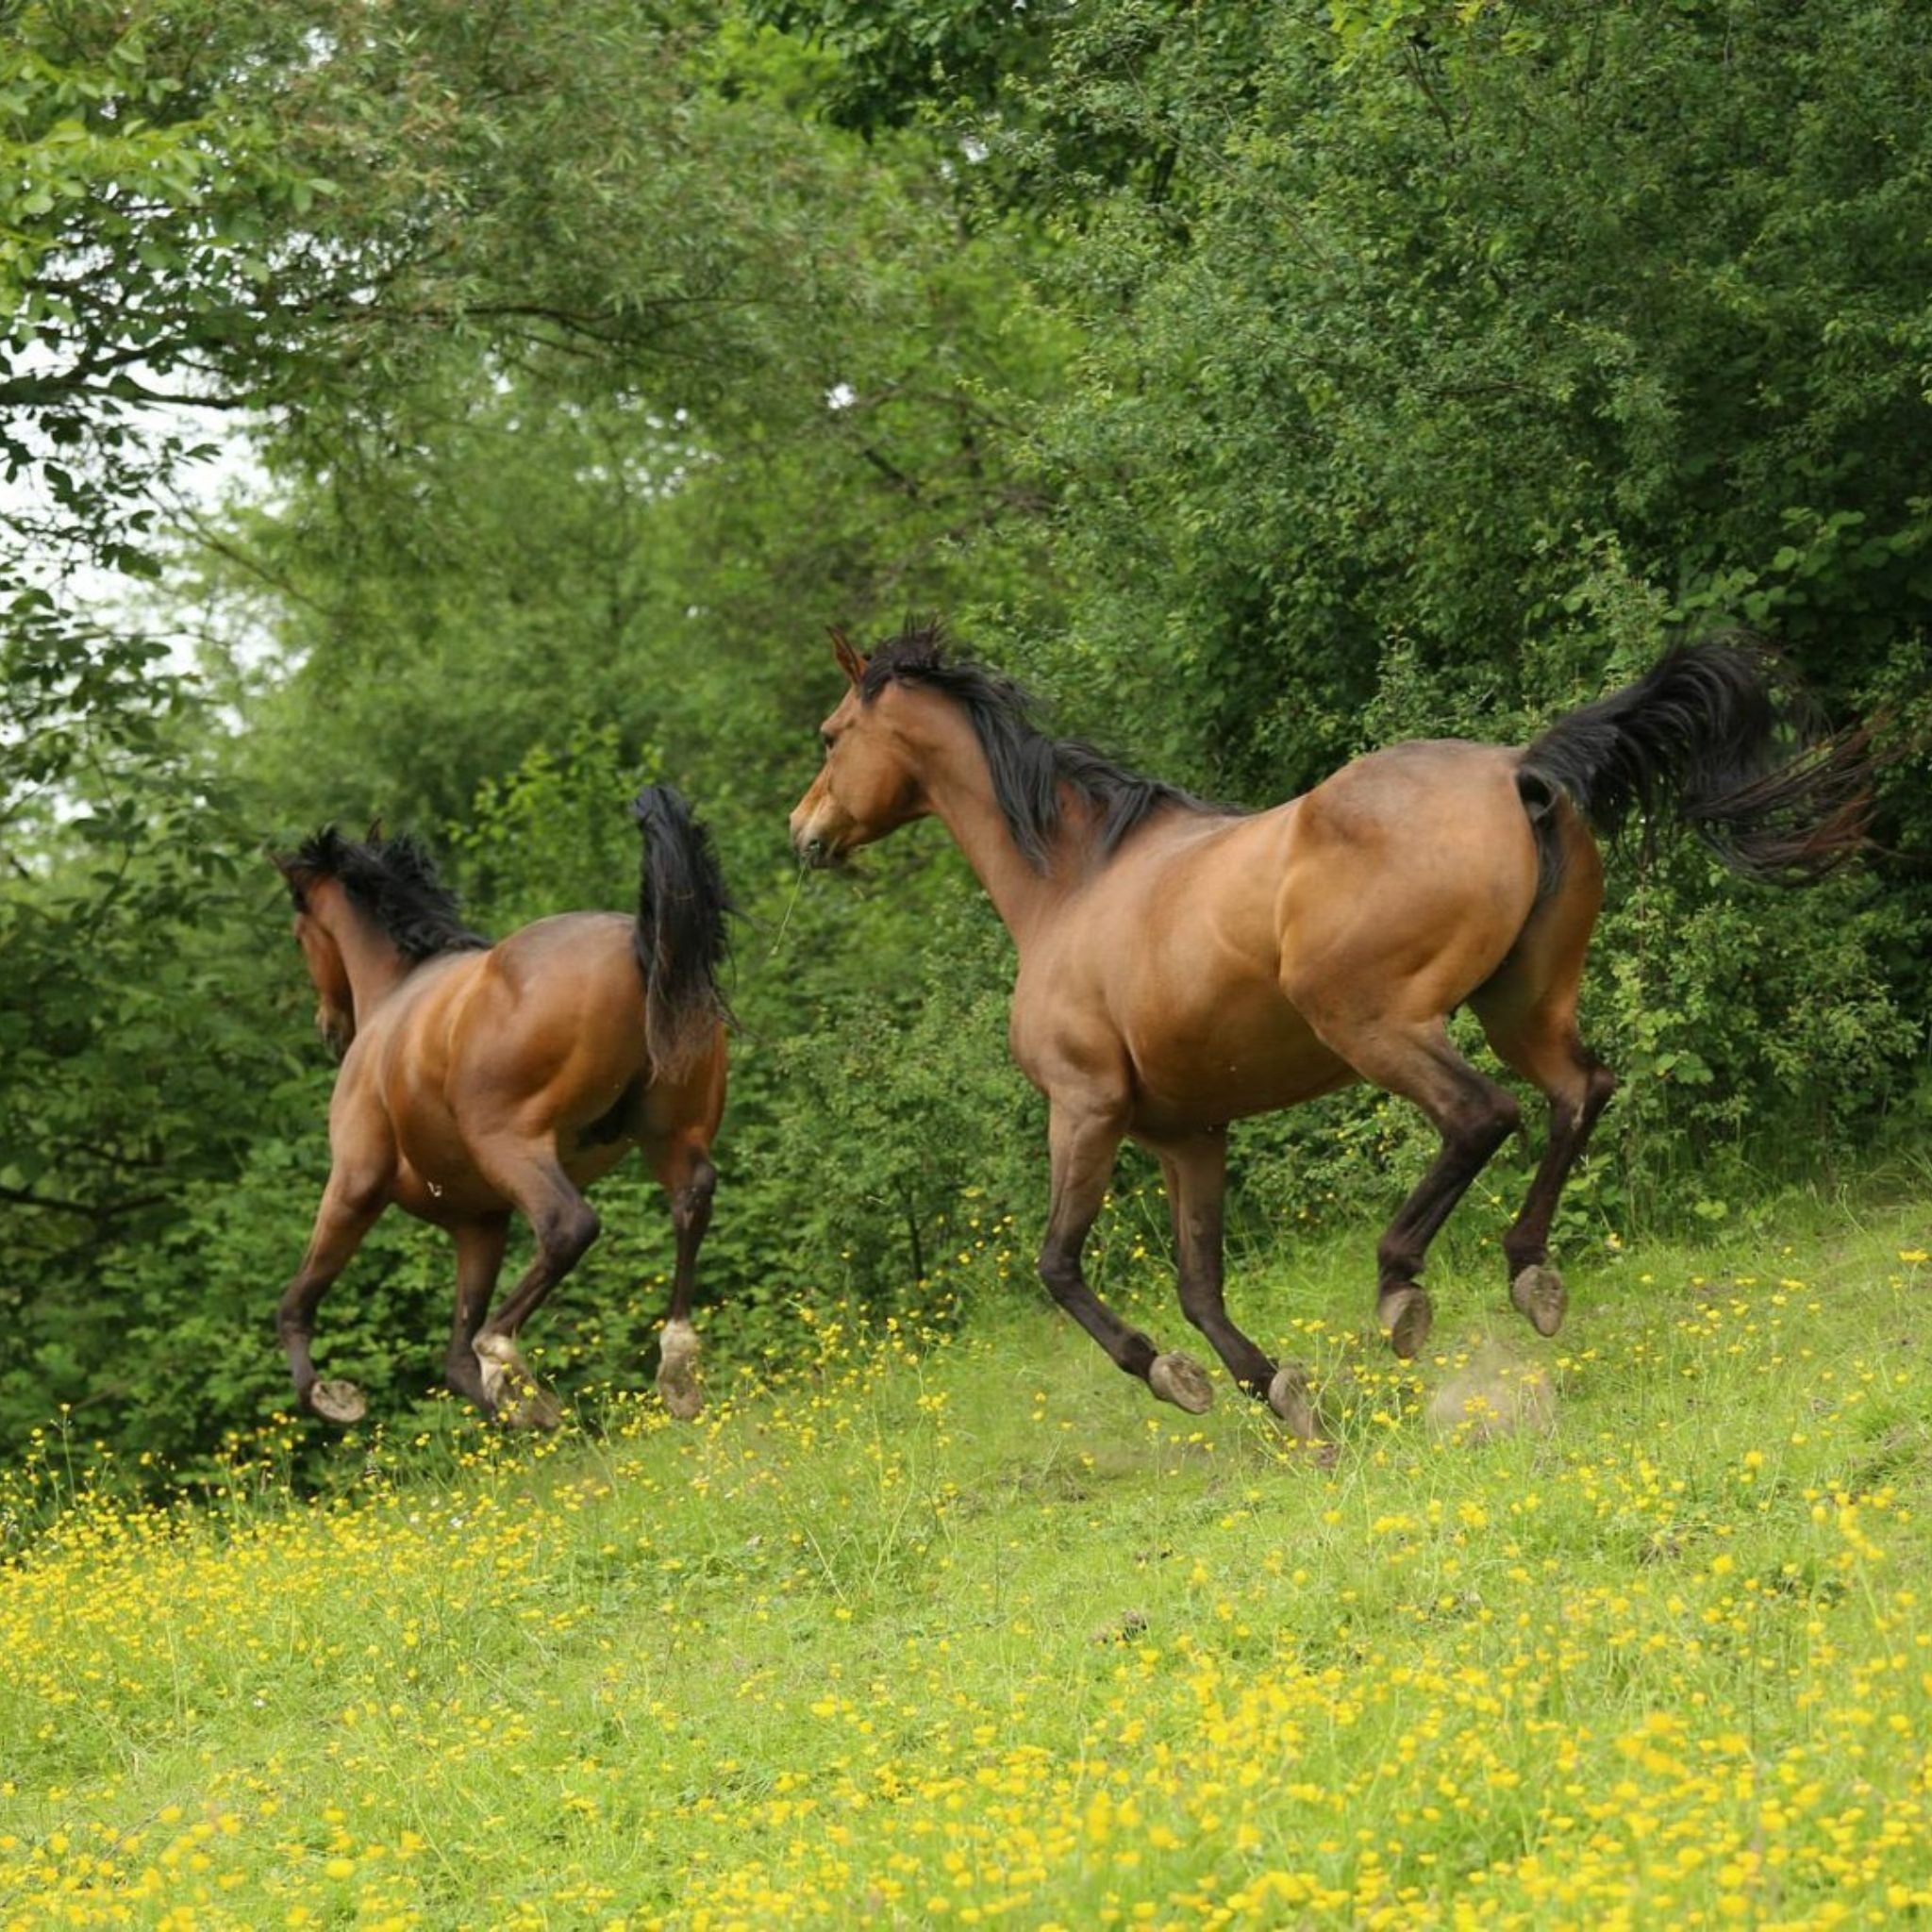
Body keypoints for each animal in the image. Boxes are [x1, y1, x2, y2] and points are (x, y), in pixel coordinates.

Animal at [268, 776, 726, 1429]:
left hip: (512, 1144)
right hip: (672, 1134)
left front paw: (330, 1396)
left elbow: (297, 1304)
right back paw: (676, 1371)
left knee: (568, 1228)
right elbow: (456, 1364)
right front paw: (530, 1419)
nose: (329, 1029)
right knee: (691, 1201)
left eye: (297, 934)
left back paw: (507, 1356)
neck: (399, 990)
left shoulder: (355, 1184)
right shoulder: (479, 1221)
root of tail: (639, 944)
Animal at [788, 625, 1870, 1444]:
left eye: (832, 733)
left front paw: (1173, 1375)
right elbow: (1199, 1281)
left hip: (1370, 1021)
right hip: (1519, 1005)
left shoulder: (1085, 1106)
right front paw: (1279, 1393)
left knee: (1483, 1115)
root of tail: (1516, 770)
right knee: (1579, 1093)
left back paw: (1401, 1289)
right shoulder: (1188, 1133)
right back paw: (1529, 1274)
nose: (803, 836)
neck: (1073, 883)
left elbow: (1059, 1265)